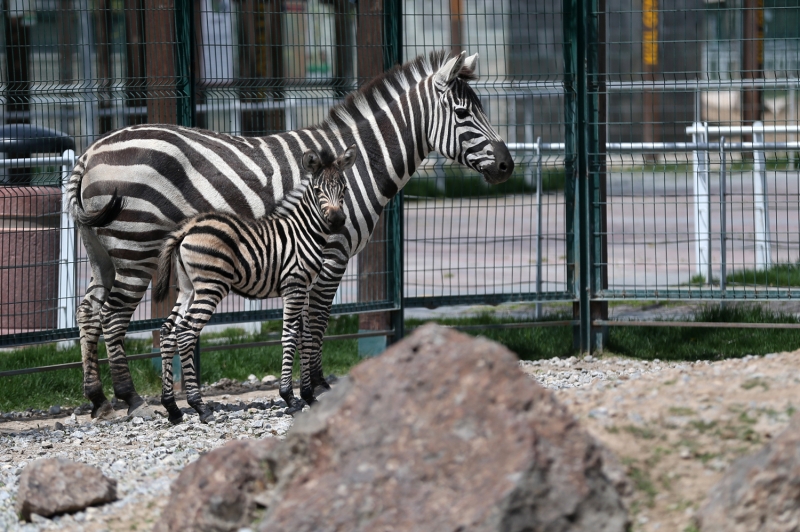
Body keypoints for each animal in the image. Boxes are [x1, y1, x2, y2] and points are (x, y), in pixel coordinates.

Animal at [154, 145, 356, 422]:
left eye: (344, 189)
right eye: (317, 191)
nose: (337, 221)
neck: (304, 231)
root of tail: (189, 227)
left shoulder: (304, 289)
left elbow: (304, 336)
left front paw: (308, 396)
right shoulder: (294, 286)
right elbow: (290, 335)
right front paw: (290, 397)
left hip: (187, 289)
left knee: (168, 331)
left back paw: (172, 408)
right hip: (210, 287)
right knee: (186, 332)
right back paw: (200, 406)